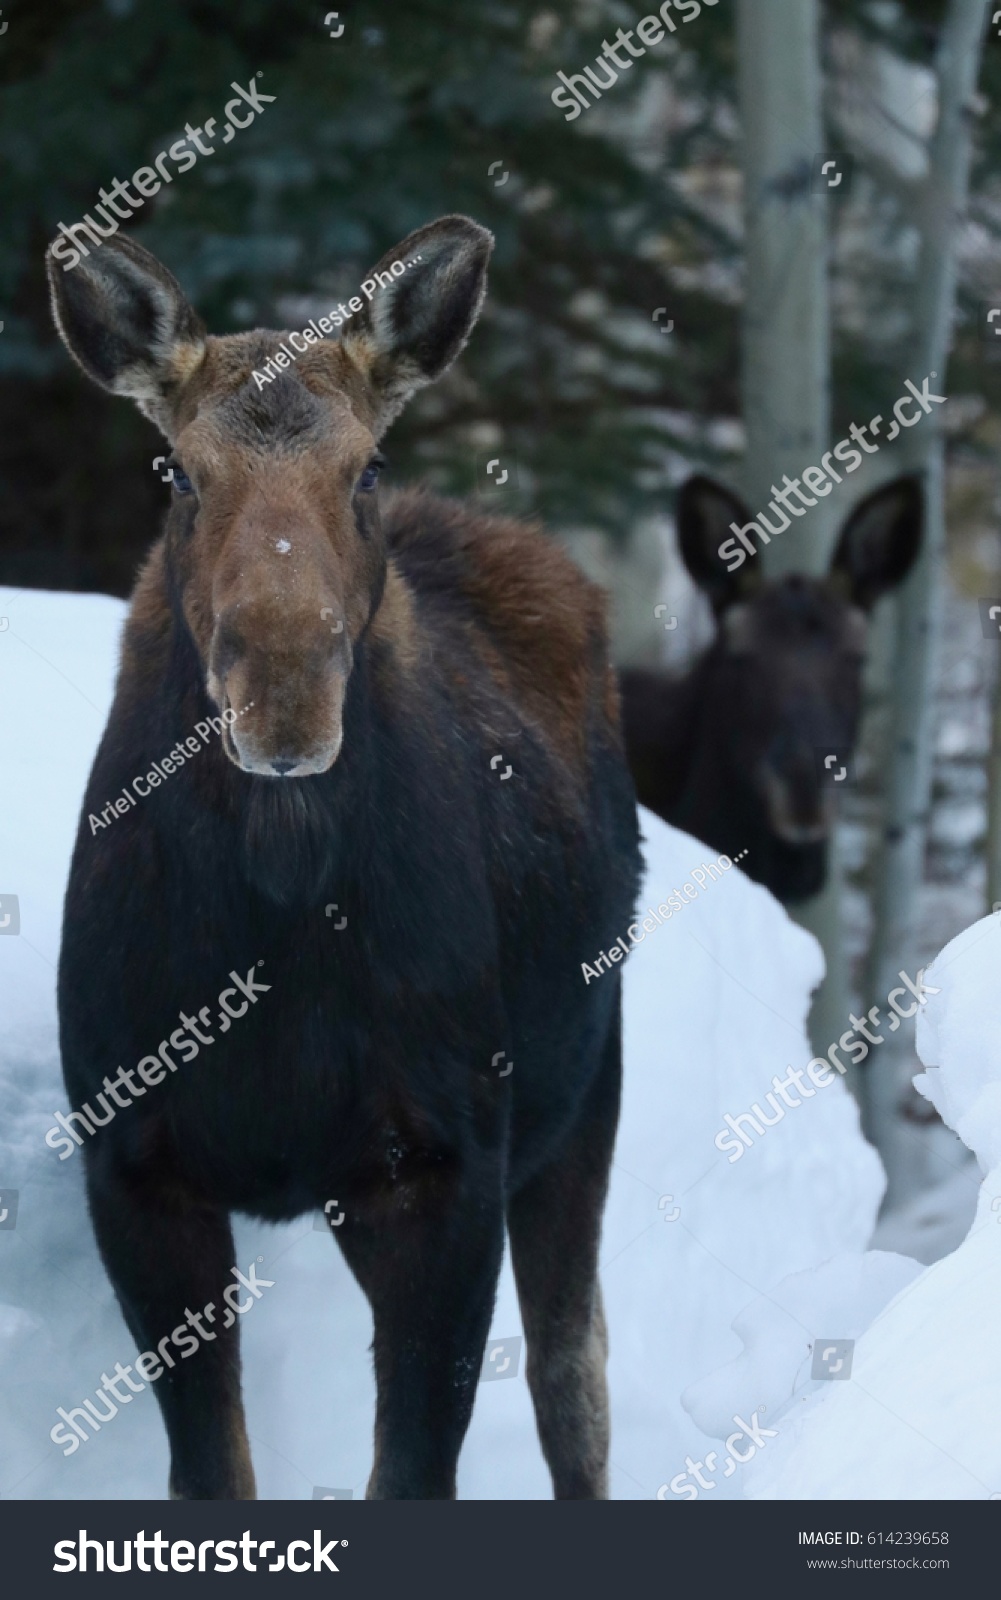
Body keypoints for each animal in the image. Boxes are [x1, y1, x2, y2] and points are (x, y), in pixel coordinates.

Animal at [48, 216, 639, 1497]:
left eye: (363, 468)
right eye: (179, 473)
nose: (283, 700)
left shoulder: (446, 1164)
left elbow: (414, 1469)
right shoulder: (132, 1163)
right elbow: (212, 1475)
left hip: (582, 1090)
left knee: (573, 1378)